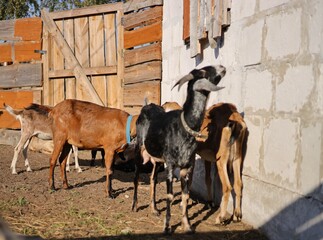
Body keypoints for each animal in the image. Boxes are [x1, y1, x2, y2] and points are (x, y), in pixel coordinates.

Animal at [133, 64, 227, 233]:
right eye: (203, 71)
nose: (222, 67)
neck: (185, 127)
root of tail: (146, 106)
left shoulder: (186, 167)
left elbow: (185, 195)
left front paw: (187, 225)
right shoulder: (170, 165)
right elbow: (170, 196)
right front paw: (167, 227)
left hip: (157, 160)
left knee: (153, 179)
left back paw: (154, 209)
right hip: (139, 148)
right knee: (136, 176)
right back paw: (135, 206)